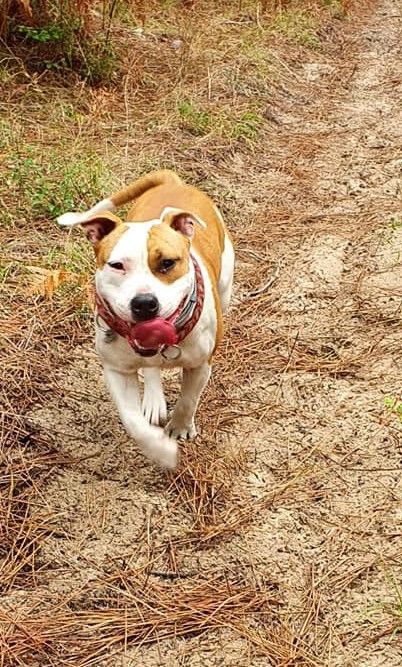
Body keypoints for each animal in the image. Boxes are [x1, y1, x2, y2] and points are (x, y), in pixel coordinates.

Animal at [56, 171, 232, 470]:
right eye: (117, 265)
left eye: (168, 263)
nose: (144, 303)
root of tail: (173, 182)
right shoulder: (116, 370)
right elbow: (132, 421)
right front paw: (161, 449)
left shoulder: (200, 364)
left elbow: (188, 399)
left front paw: (179, 428)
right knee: (150, 370)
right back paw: (153, 398)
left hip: (226, 285)